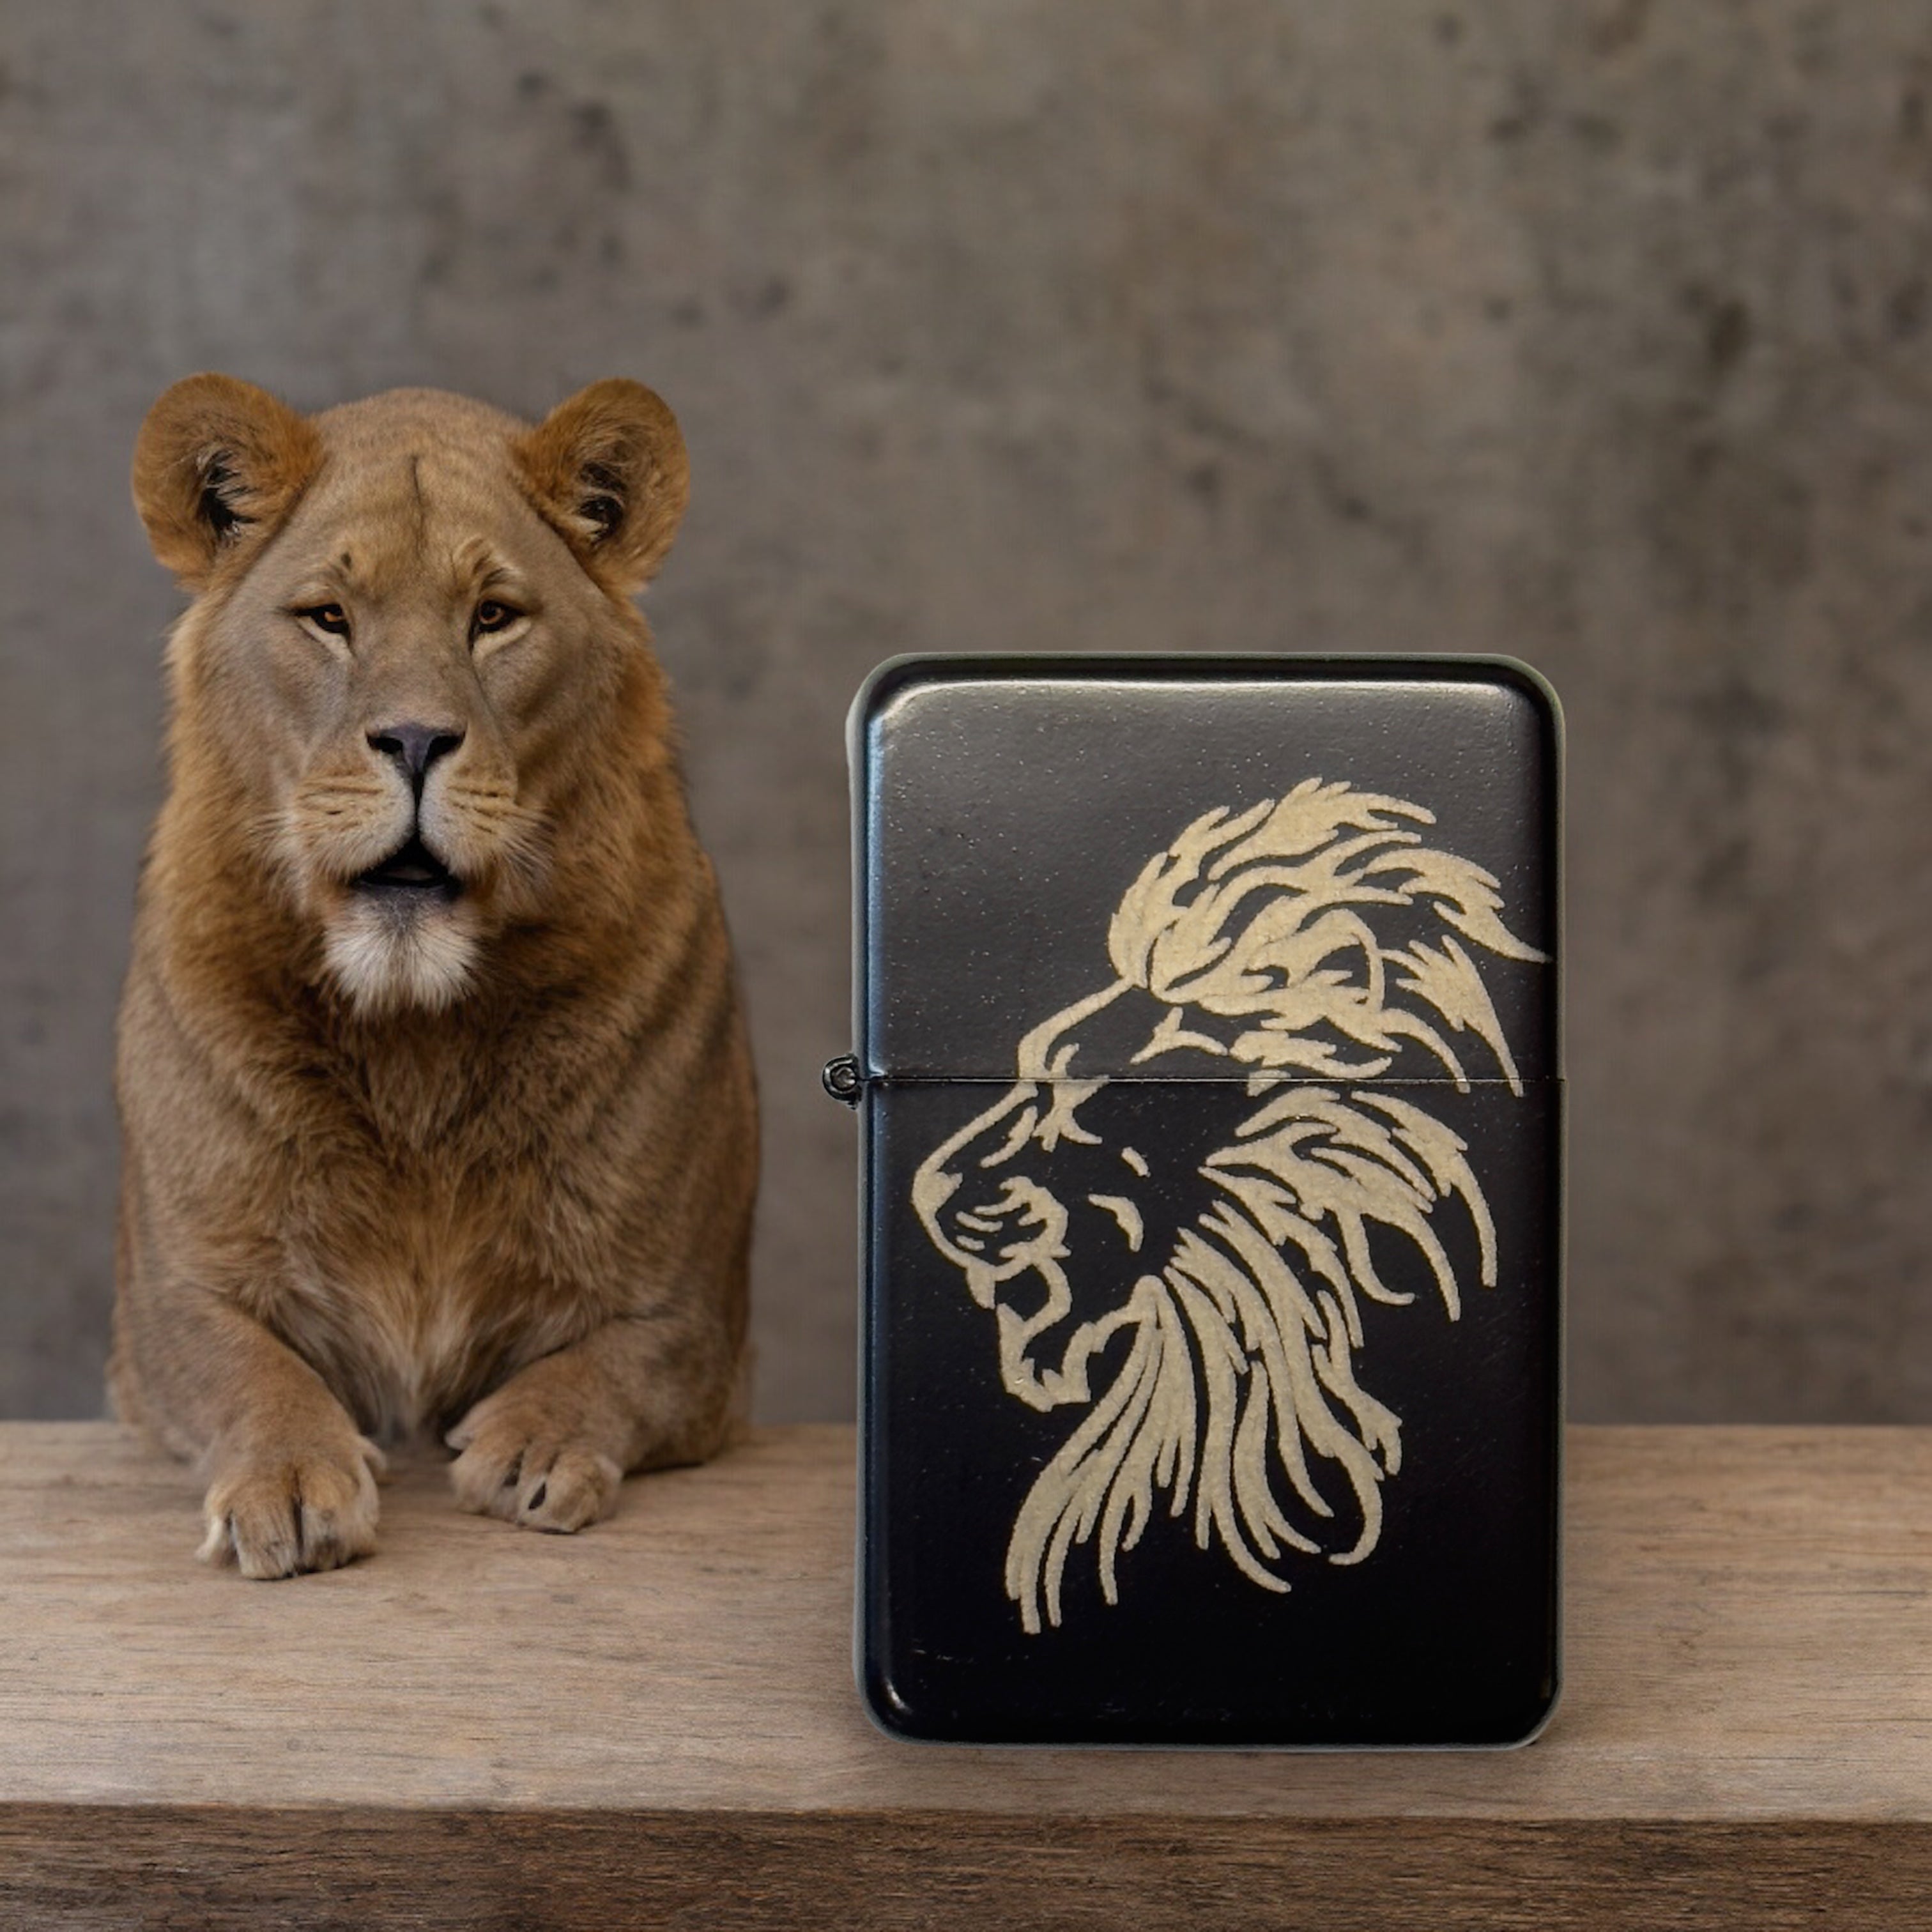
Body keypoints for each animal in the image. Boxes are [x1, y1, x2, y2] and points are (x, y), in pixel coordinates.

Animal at [111, 373, 756, 1579]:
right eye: (328, 617)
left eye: (493, 616)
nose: (413, 739)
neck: (412, 1027)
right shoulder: (162, 1297)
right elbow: (245, 1365)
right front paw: (290, 1479)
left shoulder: (696, 1316)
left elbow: (615, 1359)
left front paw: (532, 1445)